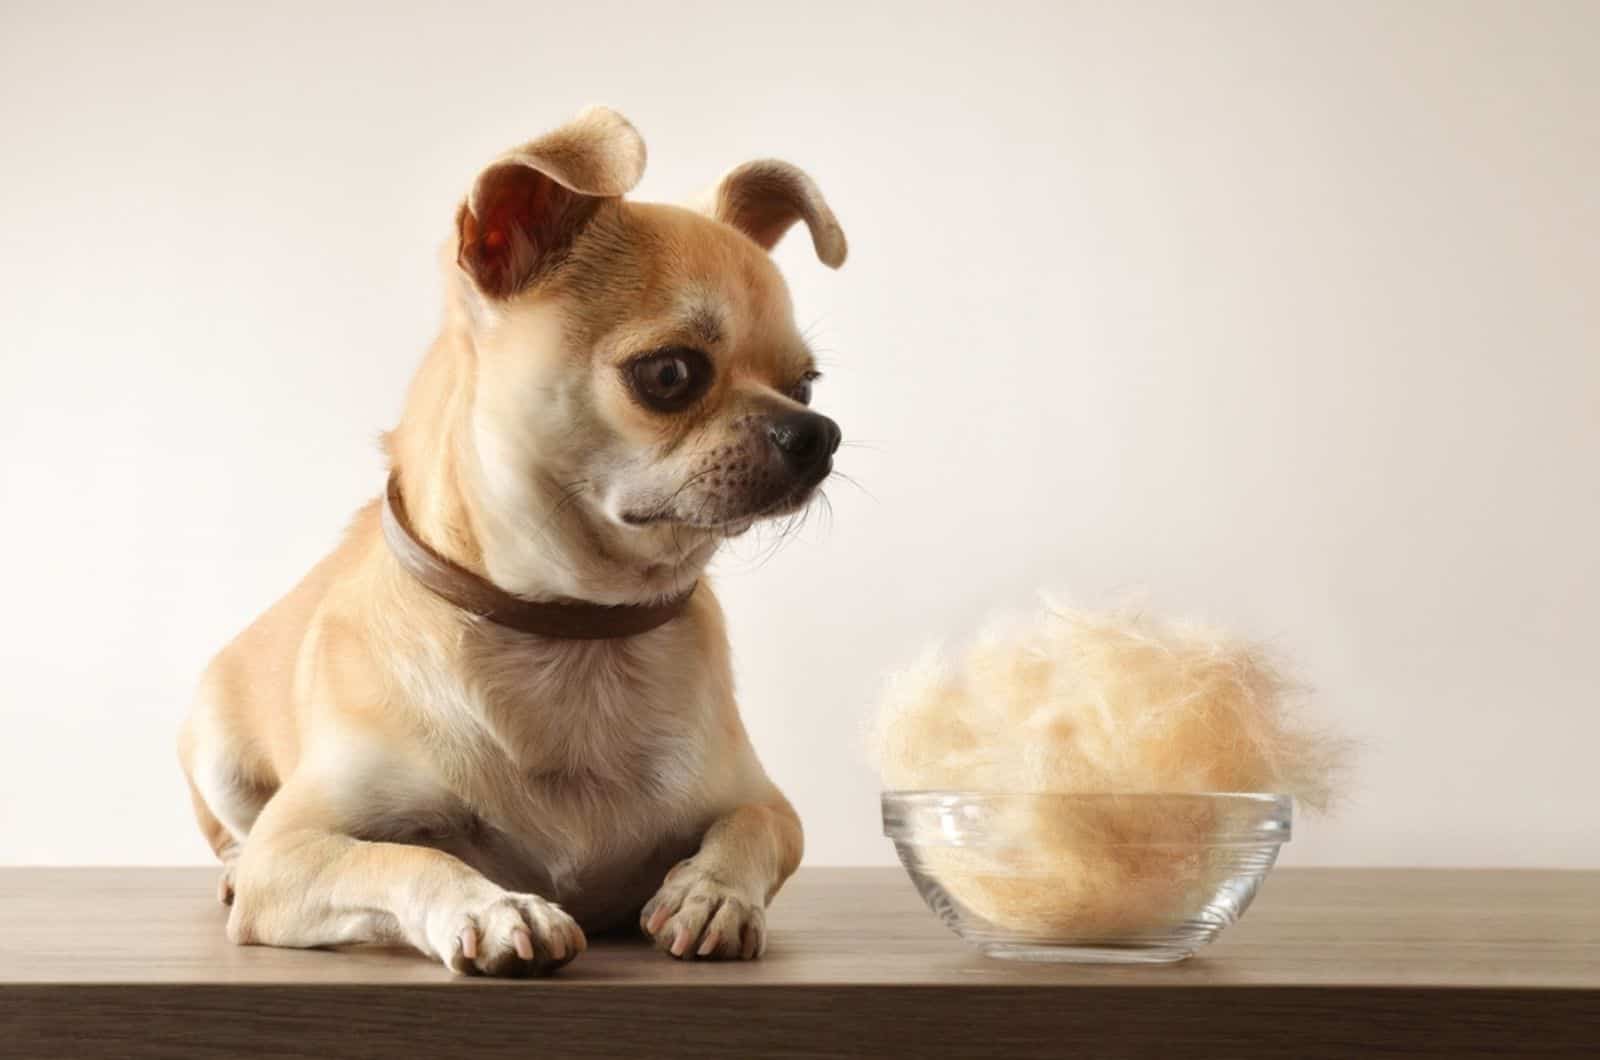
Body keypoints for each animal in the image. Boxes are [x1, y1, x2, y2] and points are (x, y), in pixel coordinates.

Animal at [176, 108, 851, 979]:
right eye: (670, 374)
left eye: (806, 385)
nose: (818, 433)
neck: (573, 634)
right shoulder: (291, 851)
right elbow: (409, 857)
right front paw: (495, 908)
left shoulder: (767, 803)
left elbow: (754, 829)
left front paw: (713, 893)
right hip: (218, 750)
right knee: (234, 836)